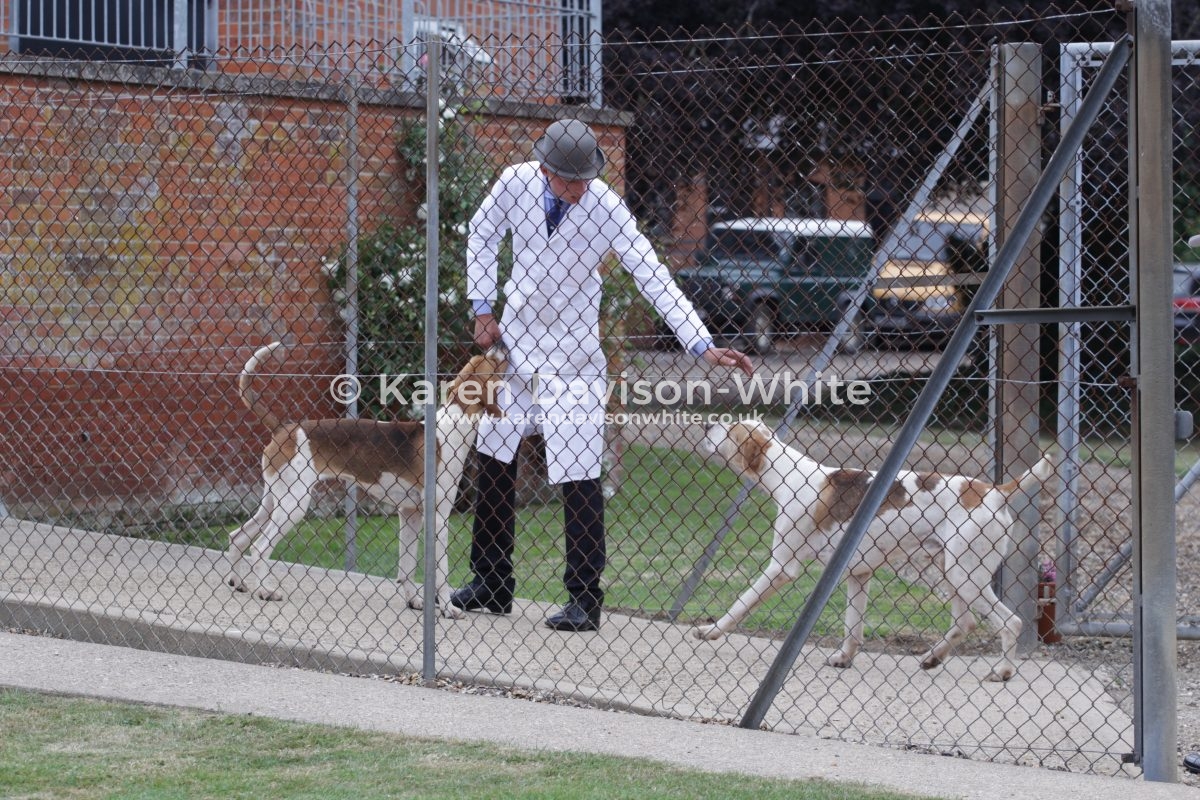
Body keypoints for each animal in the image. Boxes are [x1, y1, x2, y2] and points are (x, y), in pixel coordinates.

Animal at [225, 342, 507, 617]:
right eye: (492, 362)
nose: (499, 344)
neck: (451, 428)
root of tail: (286, 428)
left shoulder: (410, 514)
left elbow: (406, 569)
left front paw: (414, 601)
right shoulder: (438, 516)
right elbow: (440, 572)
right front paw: (448, 609)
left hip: (273, 502)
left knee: (237, 537)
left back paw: (238, 583)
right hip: (293, 504)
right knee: (260, 548)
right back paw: (265, 591)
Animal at [694, 418, 1056, 682]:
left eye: (730, 428)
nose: (707, 425)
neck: (790, 476)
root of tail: (994, 492)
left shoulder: (781, 568)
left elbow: (739, 605)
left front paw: (712, 630)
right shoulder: (859, 574)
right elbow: (852, 628)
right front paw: (845, 657)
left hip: (965, 576)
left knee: (1011, 623)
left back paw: (1003, 670)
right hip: (953, 574)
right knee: (965, 623)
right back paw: (933, 657)